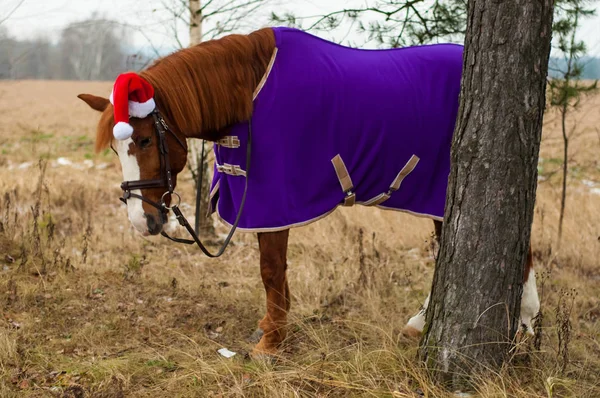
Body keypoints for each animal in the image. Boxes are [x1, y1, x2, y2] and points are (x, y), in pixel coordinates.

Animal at [77, 28, 540, 358]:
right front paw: (272, 329)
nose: (142, 221)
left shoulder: (275, 201)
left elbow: (270, 270)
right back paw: (423, 322)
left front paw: (272, 344)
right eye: (116, 147)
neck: (248, 95)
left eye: (145, 141)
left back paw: (524, 328)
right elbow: (274, 271)